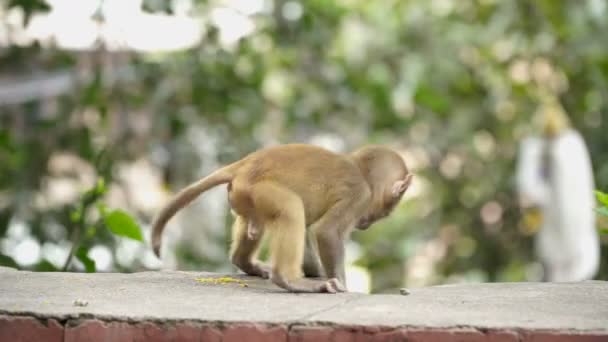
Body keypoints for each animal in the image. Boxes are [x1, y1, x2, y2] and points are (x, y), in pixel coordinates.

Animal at [151, 144, 414, 294]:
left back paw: (245, 262)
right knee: (291, 208)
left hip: (243, 197)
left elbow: (309, 230)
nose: (365, 224)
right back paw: (288, 280)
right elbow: (326, 232)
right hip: (258, 189)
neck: (360, 169)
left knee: (257, 223)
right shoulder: (359, 196)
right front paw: (338, 282)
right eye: (387, 211)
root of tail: (243, 165)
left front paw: (316, 271)